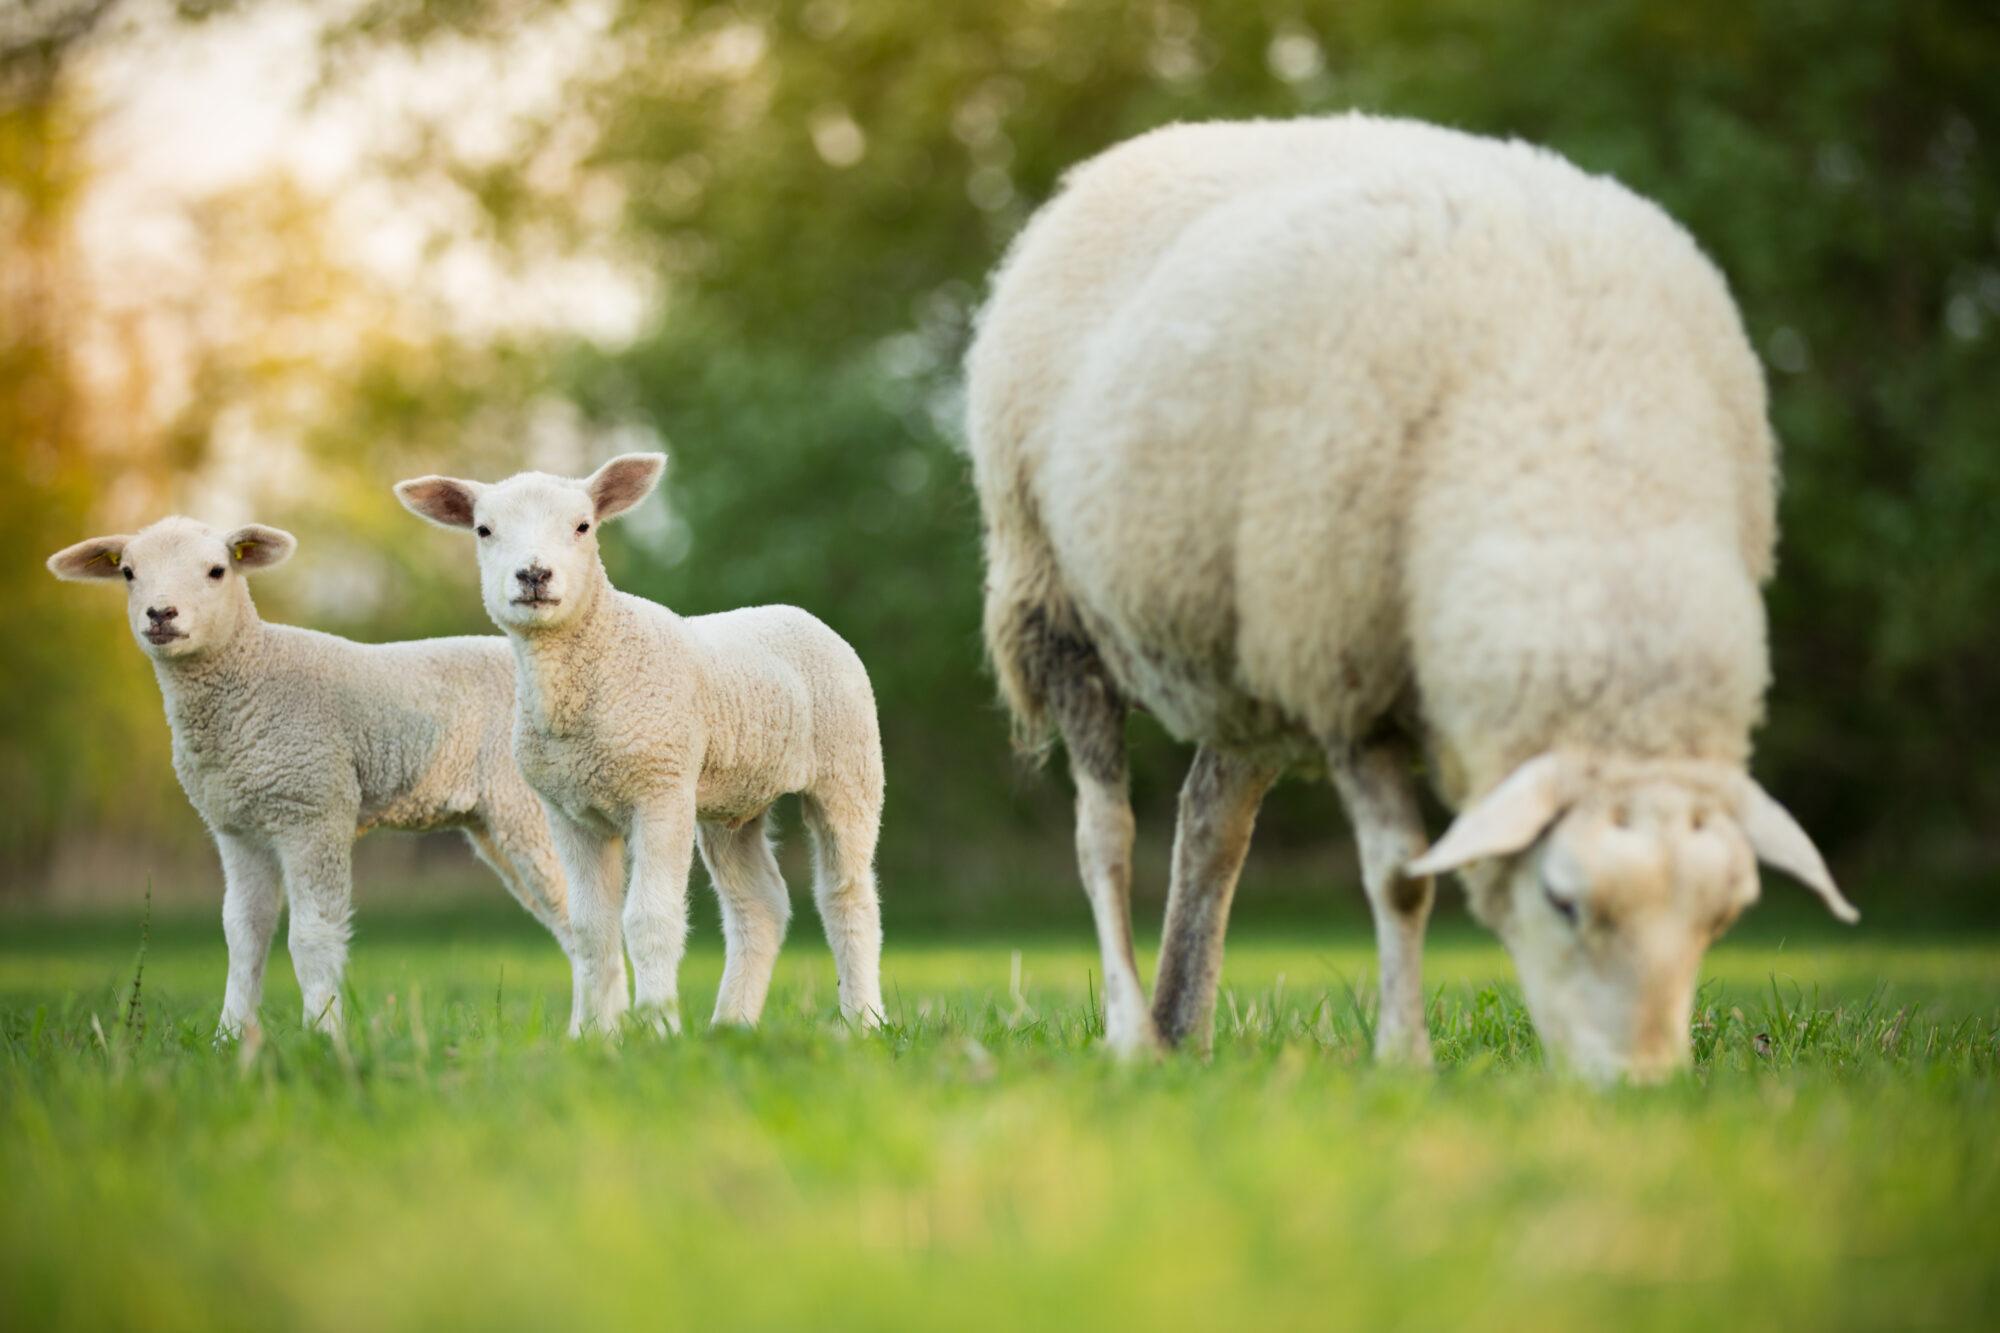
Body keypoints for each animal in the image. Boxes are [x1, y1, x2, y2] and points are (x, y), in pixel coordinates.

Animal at [45, 512, 580, 1032]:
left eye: (216, 571)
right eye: (128, 573)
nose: (160, 615)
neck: (251, 677)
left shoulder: (314, 809)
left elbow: (312, 937)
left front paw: (323, 1032)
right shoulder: (237, 827)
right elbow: (244, 935)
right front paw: (230, 1037)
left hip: (527, 808)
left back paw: (590, 1031)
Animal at [394, 452, 888, 1032]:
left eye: (583, 526)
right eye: (483, 530)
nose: (534, 574)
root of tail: (794, 612)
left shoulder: (659, 792)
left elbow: (650, 920)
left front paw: (658, 1028)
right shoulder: (568, 811)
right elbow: (590, 928)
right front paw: (594, 1035)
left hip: (849, 768)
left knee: (848, 897)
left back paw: (863, 1021)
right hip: (729, 803)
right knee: (759, 906)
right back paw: (731, 1025)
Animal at [968, 116, 1856, 1080]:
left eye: (1723, 916)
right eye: (1564, 900)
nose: (1642, 1084)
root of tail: (1130, 154)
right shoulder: (1348, 675)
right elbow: (1399, 876)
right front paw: (1404, 1055)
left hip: (1249, 644)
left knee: (1211, 825)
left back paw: (1186, 1029)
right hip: (1055, 602)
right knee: (1106, 835)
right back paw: (1134, 1032)